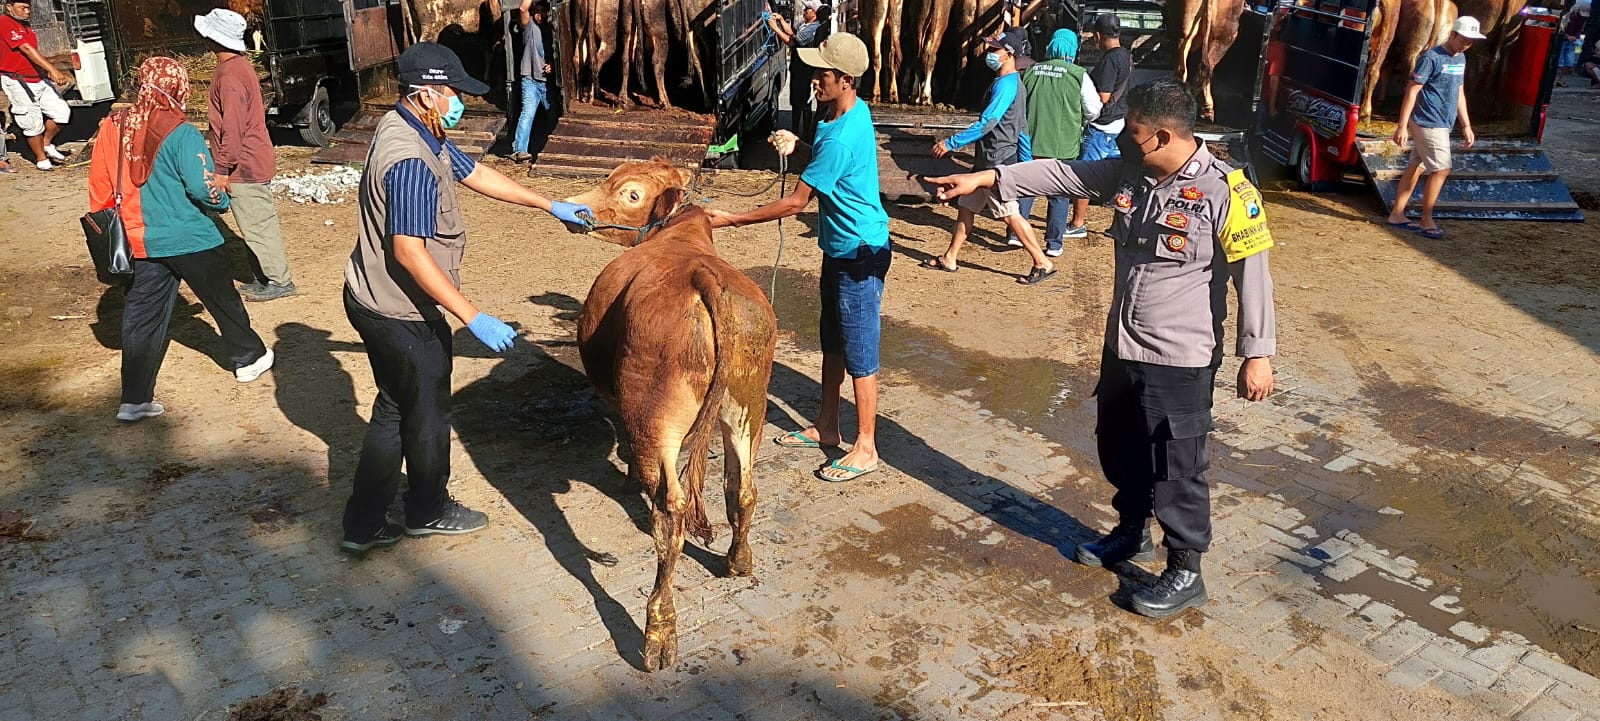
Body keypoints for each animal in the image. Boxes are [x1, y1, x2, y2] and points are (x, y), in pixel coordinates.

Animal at [569, 158, 780, 671]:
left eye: (629, 192)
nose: (578, 208)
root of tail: (706, 278)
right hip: (749, 405)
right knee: (742, 487)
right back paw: (737, 560)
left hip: (655, 419)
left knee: (671, 515)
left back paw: (658, 634)